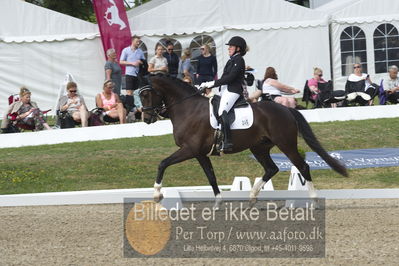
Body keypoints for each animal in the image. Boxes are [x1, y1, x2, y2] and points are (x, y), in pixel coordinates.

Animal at [140, 75, 346, 208]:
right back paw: (252, 197)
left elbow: (163, 163)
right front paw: (218, 202)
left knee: (302, 167)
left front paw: (157, 194)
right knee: (272, 168)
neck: (187, 108)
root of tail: (286, 109)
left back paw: (313, 199)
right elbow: (211, 176)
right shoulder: (199, 153)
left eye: (146, 94)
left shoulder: (189, 149)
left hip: (286, 144)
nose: (146, 118)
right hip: (259, 147)